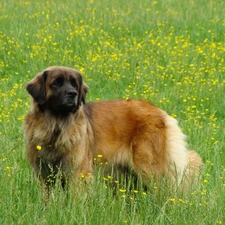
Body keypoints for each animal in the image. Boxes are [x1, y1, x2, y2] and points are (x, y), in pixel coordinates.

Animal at [23, 66, 203, 192]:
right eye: (56, 83)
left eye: (75, 84)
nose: (72, 94)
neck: (56, 127)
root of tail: (159, 111)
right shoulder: (43, 175)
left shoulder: (78, 172)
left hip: (151, 170)